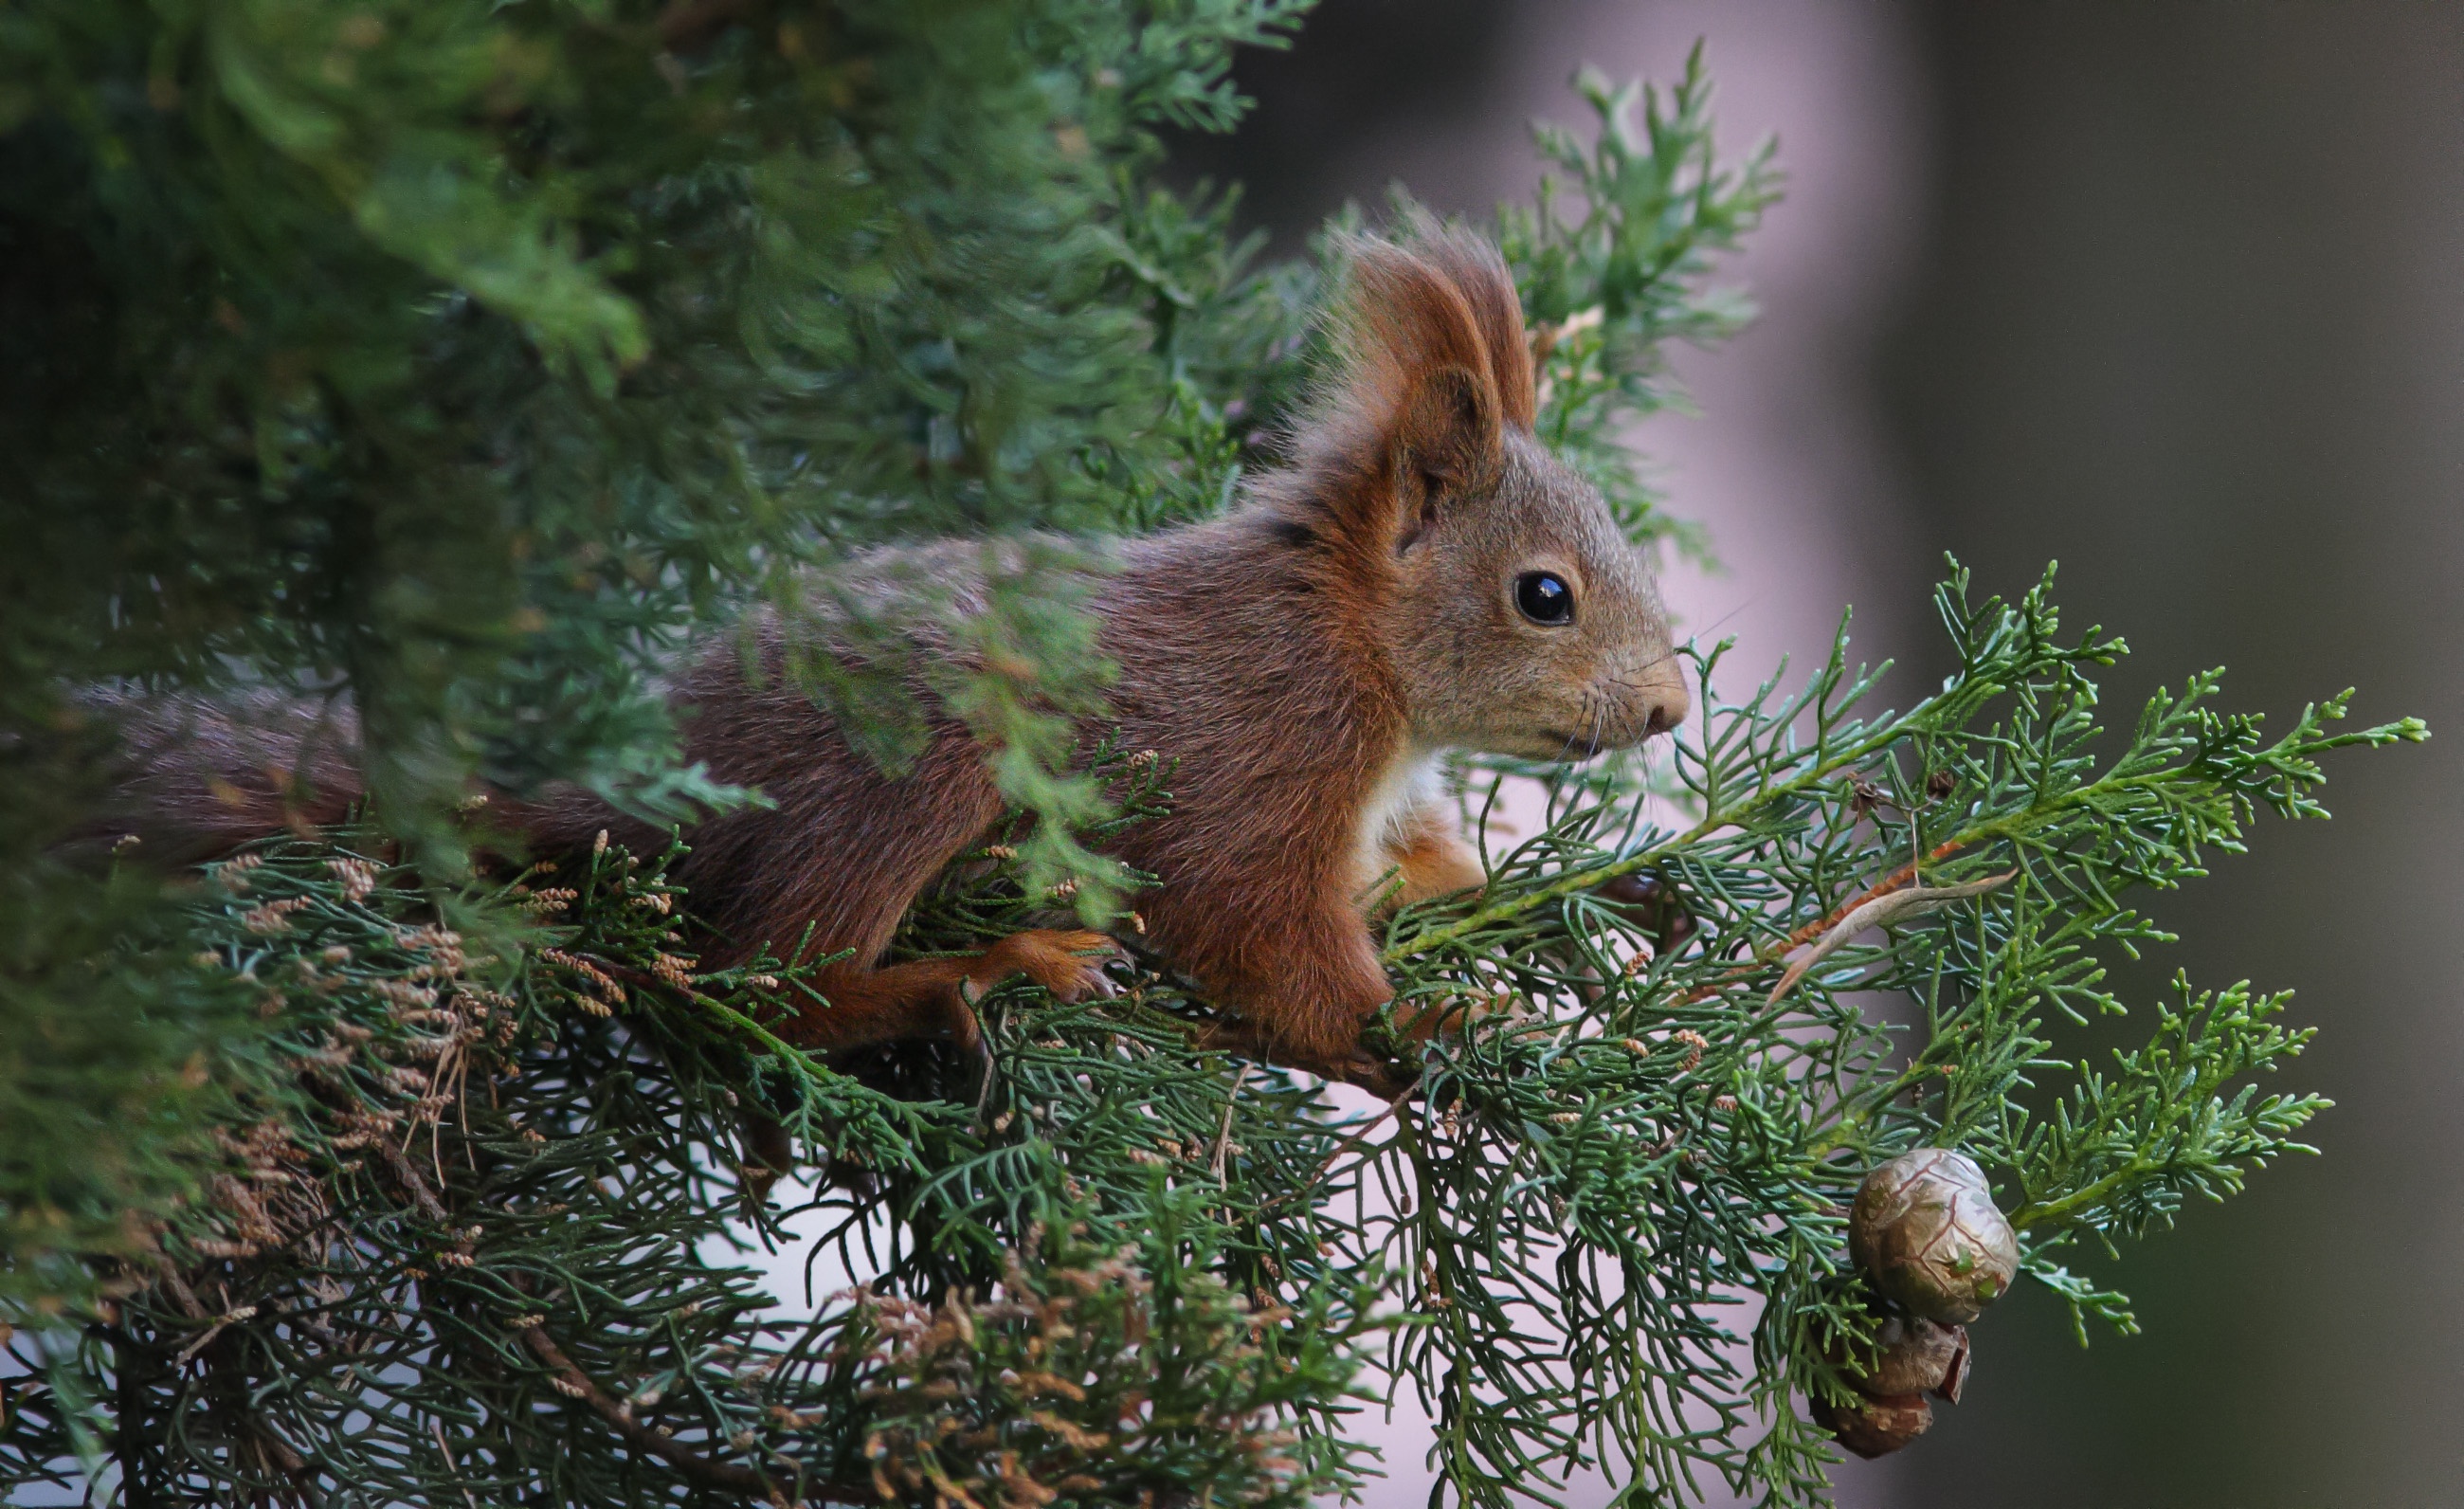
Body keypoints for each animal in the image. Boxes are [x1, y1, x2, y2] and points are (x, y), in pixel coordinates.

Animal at [100, 232, 1675, 1084]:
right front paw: (1429, 1025)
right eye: (1545, 594)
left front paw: (1511, 897)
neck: (1351, 641)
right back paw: (970, 974)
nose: (1667, 708)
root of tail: (646, 777)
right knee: (757, 980)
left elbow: (1414, 868)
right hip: (904, 769)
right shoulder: (1259, 747)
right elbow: (1259, 934)